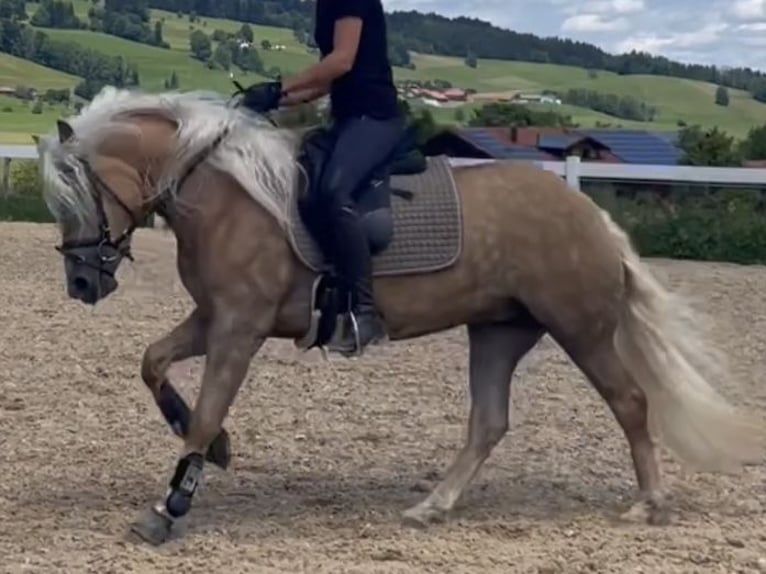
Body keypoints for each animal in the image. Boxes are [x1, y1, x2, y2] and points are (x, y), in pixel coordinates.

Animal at [37, 86, 766, 548]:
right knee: (489, 422)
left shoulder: (239, 328)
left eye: (80, 193)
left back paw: (649, 504)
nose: (82, 282)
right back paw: (430, 507)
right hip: (499, 331)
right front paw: (214, 450)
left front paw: (169, 507)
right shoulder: (214, 317)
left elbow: (207, 407)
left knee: (631, 403)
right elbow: (153, 363)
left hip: (579, 328)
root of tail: (591, 216)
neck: (226, 194)